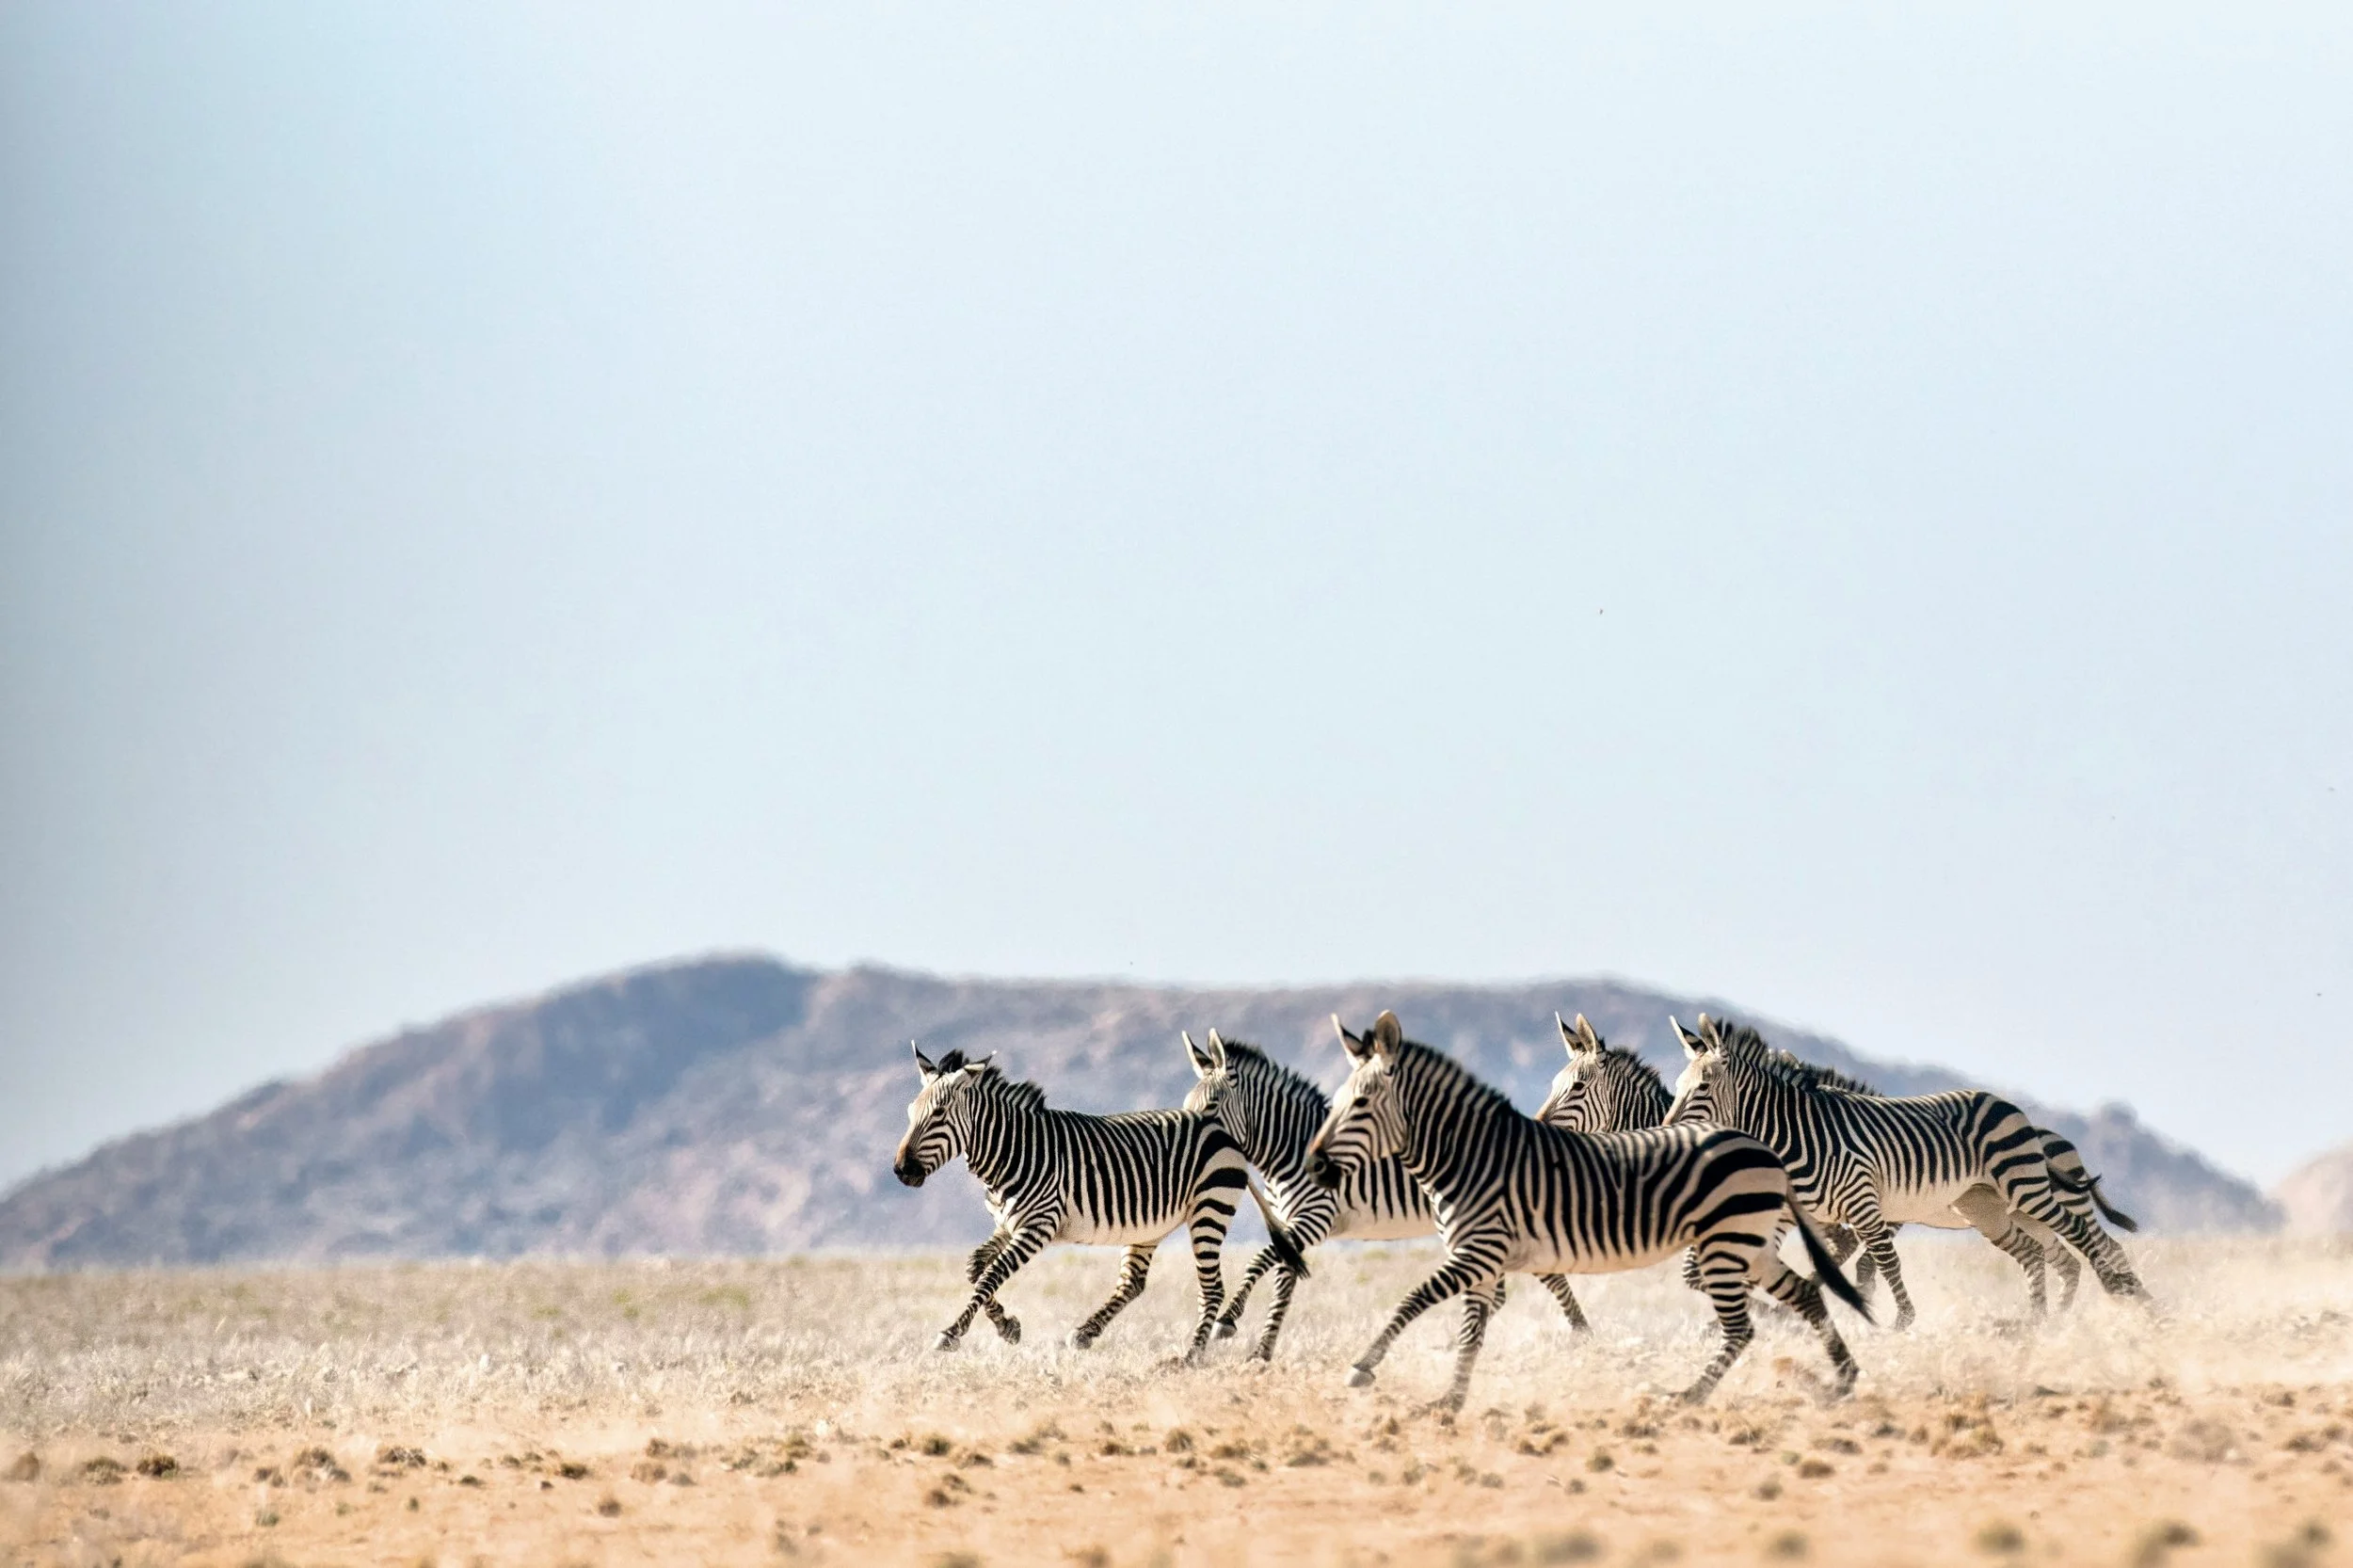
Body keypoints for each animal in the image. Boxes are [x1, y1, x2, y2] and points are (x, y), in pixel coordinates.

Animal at [892, 1043, 1308, 1361]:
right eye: (910, 1113)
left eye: (939, 1114)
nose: (900, 1171)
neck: (1014, 1150)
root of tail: (1223, 1130)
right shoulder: (1007, 1224)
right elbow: (975, 1268)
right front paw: (1007, 1326)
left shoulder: (1038, 1225)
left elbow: (992, 1274)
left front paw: (952, 1332)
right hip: (1149, 1226)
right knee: (1134, 1283)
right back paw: (1086, 1332)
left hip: (1210, 1210)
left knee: (1212, 1290)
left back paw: (1190, 1356)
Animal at [1180, 1028, 1593, 1360]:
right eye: (1185, 1106)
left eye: (1211, 1106)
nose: (1189, 1142)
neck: (1290, 1148)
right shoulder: (1289, 1224)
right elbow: (1284, 1280)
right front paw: (1262, 1352)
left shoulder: (1317, 1217)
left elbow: (1260, 1259)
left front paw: (1229, 1320)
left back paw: (1581, 1332)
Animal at [1533, 1014, 2139, 1312]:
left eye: (1577, 1087)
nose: (1536, 1128)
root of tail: (2052, 1136)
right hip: (1999, 1213)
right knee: (2059, 1259)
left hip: (2033, 1199)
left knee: (2094, 1246)